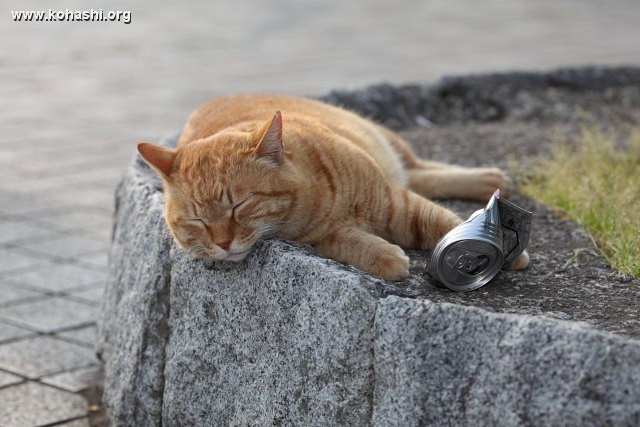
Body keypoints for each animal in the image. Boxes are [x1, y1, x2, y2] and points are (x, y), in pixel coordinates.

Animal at [138, 94, 528, 280]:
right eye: (197, 222)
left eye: (239, 206)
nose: (222, 243)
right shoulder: (323, 238)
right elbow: (355, 243)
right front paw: (386, 257)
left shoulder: (396, 202)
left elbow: (444, 223)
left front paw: (505, 252)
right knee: (417, 175)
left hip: (387, 142)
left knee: (419, 168)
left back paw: (489, 179)